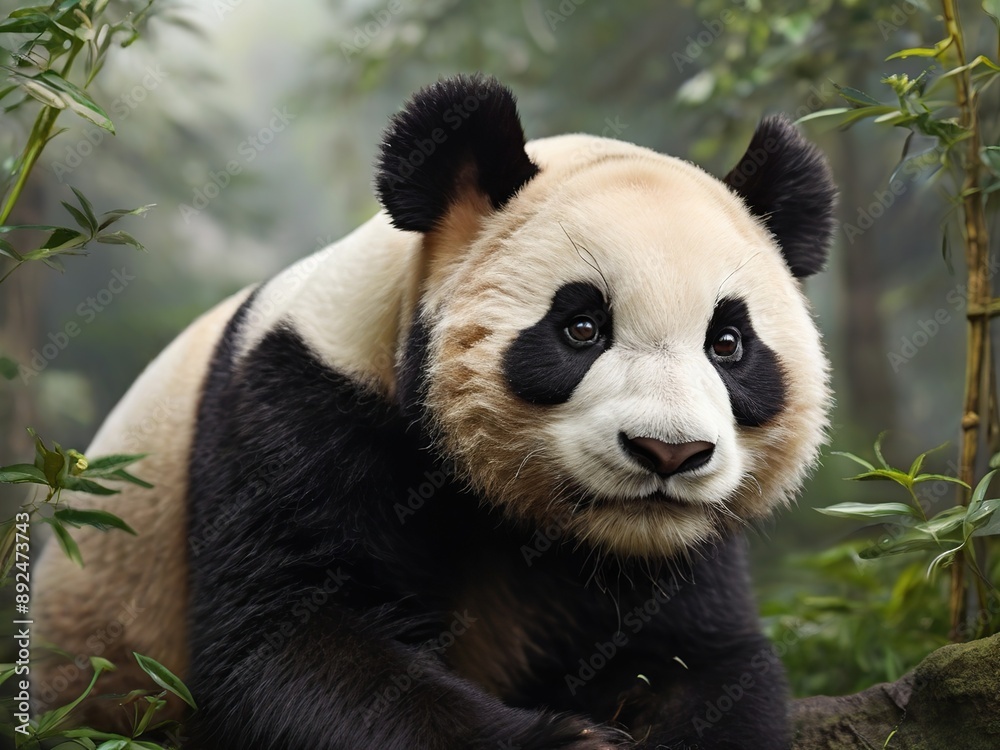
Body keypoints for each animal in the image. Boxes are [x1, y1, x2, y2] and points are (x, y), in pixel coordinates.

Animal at [33, 74, 835, 749]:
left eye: (728, 343)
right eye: (581, 327)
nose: (668, 452)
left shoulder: (680, 549)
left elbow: (706, 660)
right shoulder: (299, 408)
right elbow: (288, 643)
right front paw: (564, 742)